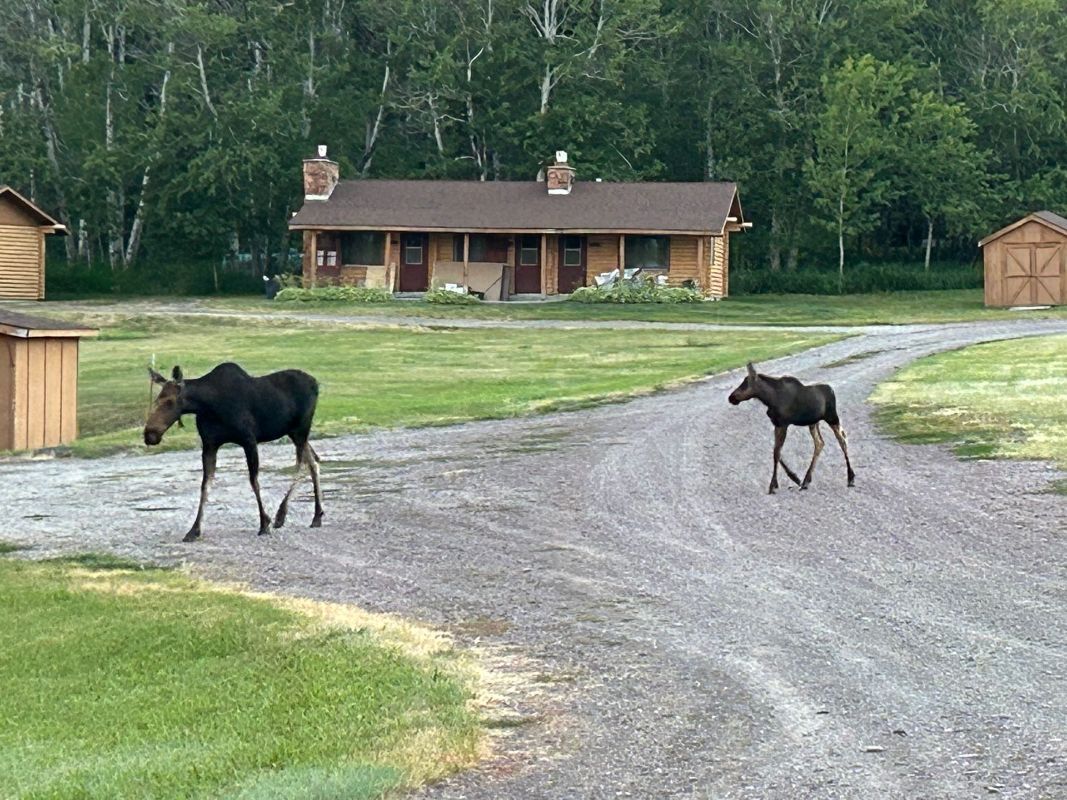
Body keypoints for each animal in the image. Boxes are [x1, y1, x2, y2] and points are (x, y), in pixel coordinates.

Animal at [144, 364, 322, 546]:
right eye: (156, 400)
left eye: (170, 401)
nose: (149, 434)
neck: (208, 406)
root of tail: (316, 382)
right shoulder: (209, 445)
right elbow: (205, 486)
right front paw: (194, 530)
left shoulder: (249, 440)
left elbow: (254, 481)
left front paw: (264, 523)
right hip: (293, 432)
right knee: (313, 461)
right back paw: (315, 516)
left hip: (301, 429)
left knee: (303, 464)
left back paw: (285, 514)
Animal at [729, 362, 853, 494]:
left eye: (745, 384)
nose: (731, 397)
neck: (769, 399)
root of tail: (832, 390)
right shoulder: (777, 424)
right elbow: (776, 451)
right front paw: (795, 478)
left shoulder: (783, 424)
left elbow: (776, 453)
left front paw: (773, 485)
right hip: (814, 423)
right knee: (820, 443)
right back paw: (806, 481)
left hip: (832, 417)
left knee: (842, 440)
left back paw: (850, 477)